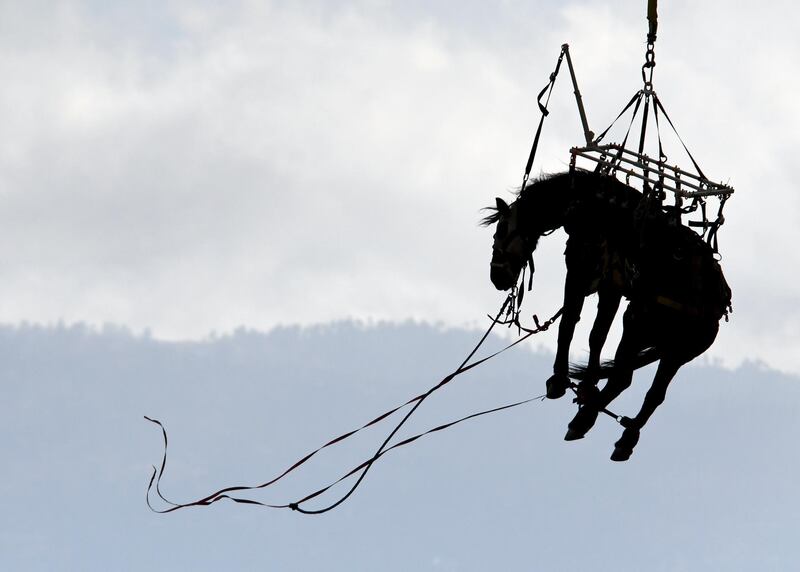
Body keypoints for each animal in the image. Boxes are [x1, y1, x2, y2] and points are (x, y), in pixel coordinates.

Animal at [482, 169, 732, 460]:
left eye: (500, 230)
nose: (497, 276)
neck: (590, 204)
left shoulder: (582, 272)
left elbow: (570, 324)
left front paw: (559, 380)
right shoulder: (609, 286)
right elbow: (597, 335)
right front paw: (587, 385)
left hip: (638, 324)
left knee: (623, 378)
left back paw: (584, 420)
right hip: (676, 350)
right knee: (653, 393)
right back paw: (625, 436)